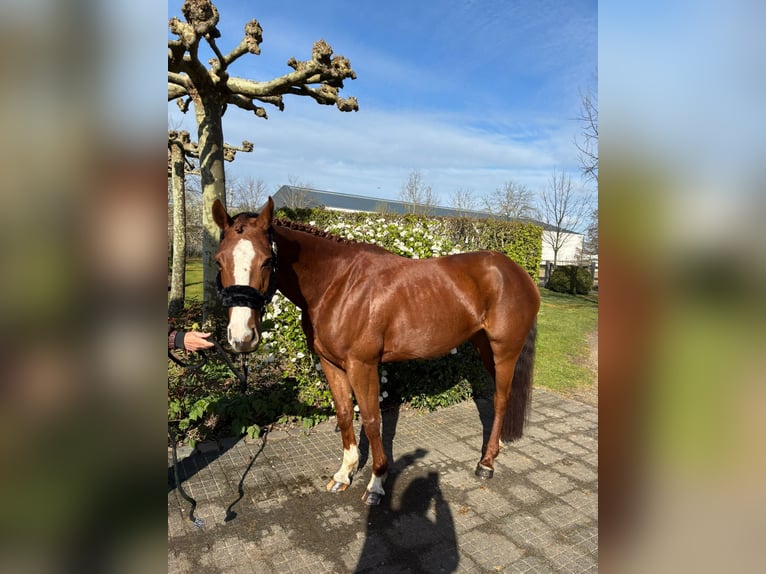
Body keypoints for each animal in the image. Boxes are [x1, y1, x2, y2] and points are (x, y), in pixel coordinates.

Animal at [212, 197, 540, 506]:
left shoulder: (363, 365)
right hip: (485, 348)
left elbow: (371, 421)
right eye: (219, 262)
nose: (242, 337)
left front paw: (377, 484)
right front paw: (343, 474)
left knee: (500, 399)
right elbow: (345, 414)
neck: (337, 283)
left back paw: (486, 463)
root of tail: (519, 273)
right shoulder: (331, 363)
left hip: (505, 352)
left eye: (267, 261)